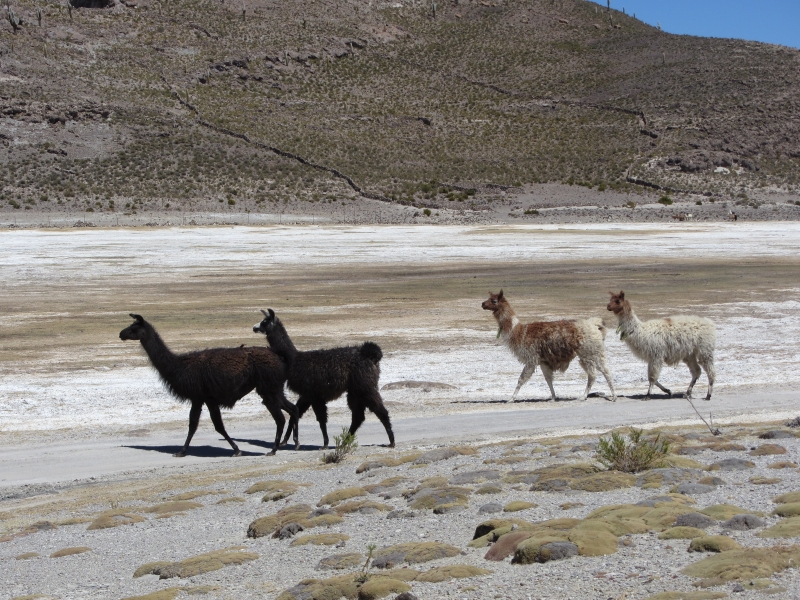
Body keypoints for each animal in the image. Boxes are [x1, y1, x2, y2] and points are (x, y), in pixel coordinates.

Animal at [119, 314, 298, 457]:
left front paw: (182, 451)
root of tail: (280, 358)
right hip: (273, 389)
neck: (179, 366)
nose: (121, 334)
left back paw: (274, 449)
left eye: (133, 328)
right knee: (291, 409)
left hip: (269, 389)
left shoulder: (202, 397)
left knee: (280, 418)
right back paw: (291, 443)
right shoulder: (205, 399)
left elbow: (205, 425)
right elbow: (204, 425)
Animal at [253, 309, 395, 449]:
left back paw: (391, 442)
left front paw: (325, 444)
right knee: (358, 417)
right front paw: (285, 441)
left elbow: (320, 419)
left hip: (365, 386)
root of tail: (370, 355)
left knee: (380, 412)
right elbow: (296, 414)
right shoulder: (307, 394)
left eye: (265, 321)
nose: (254, 327)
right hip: (355, 390)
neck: (294, 359)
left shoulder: (315, 394)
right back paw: (344, 442)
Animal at [482, 290, 616, 402]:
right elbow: (548, 379)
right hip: (594, 352)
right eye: (488, 298)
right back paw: (609, 396)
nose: (482, 304)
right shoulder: (543, 361)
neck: (519, 332)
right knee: (604, 371)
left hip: (588, 353)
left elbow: (521, 379)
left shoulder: (531, 358)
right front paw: (553, 397)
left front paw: (511, 399)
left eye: (494, 301)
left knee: (594, 374)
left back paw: (587, 397)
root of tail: (594, 325)